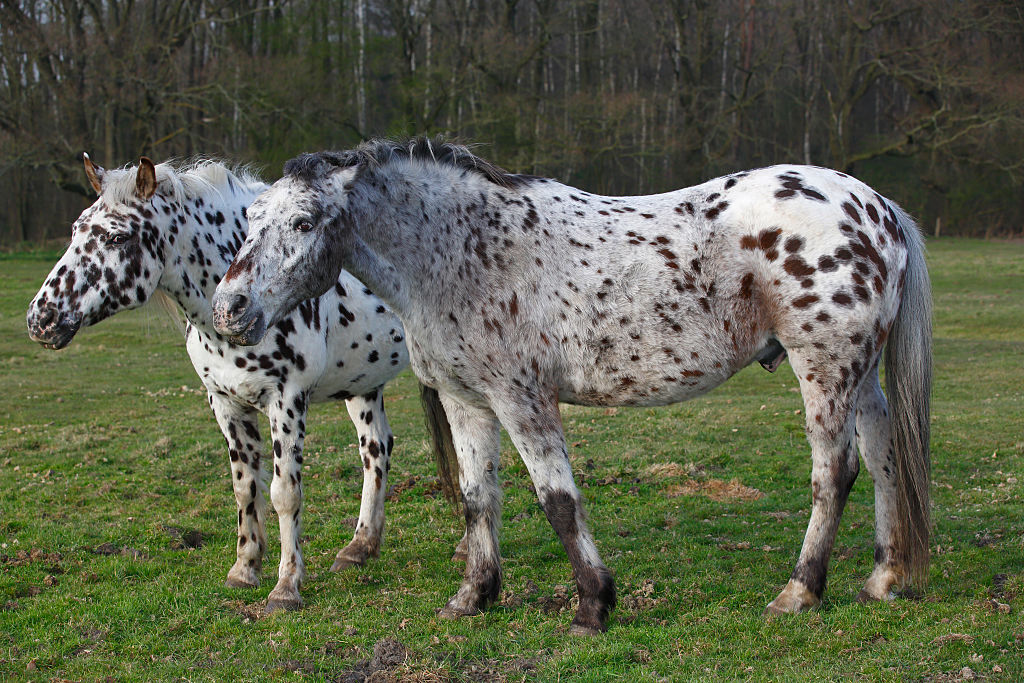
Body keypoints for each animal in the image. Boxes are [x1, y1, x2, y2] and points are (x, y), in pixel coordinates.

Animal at [25, 156, 456, 614]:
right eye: (76, 228)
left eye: (118, 236)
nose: (41, 318)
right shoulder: (225, 404)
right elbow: (244, 487)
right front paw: (245, 569)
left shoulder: (287, 401)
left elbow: (285, 493)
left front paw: (286, 587)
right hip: (363, 383)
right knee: (376, 449)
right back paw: (359, 547)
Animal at [211, 139, 933, 634]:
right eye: (251, 218)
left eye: (305, 222)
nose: (230, 308)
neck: (463, 252)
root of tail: (878, 208)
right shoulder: (467, 403)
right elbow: (478, 500)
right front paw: (472, 597)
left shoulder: (522, 397)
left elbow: (558, 501)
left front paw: (593, 604)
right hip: (861, 378)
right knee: (882, 458)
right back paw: (882, 578)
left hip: (824, 369)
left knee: (833, 472)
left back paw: (799, 591)